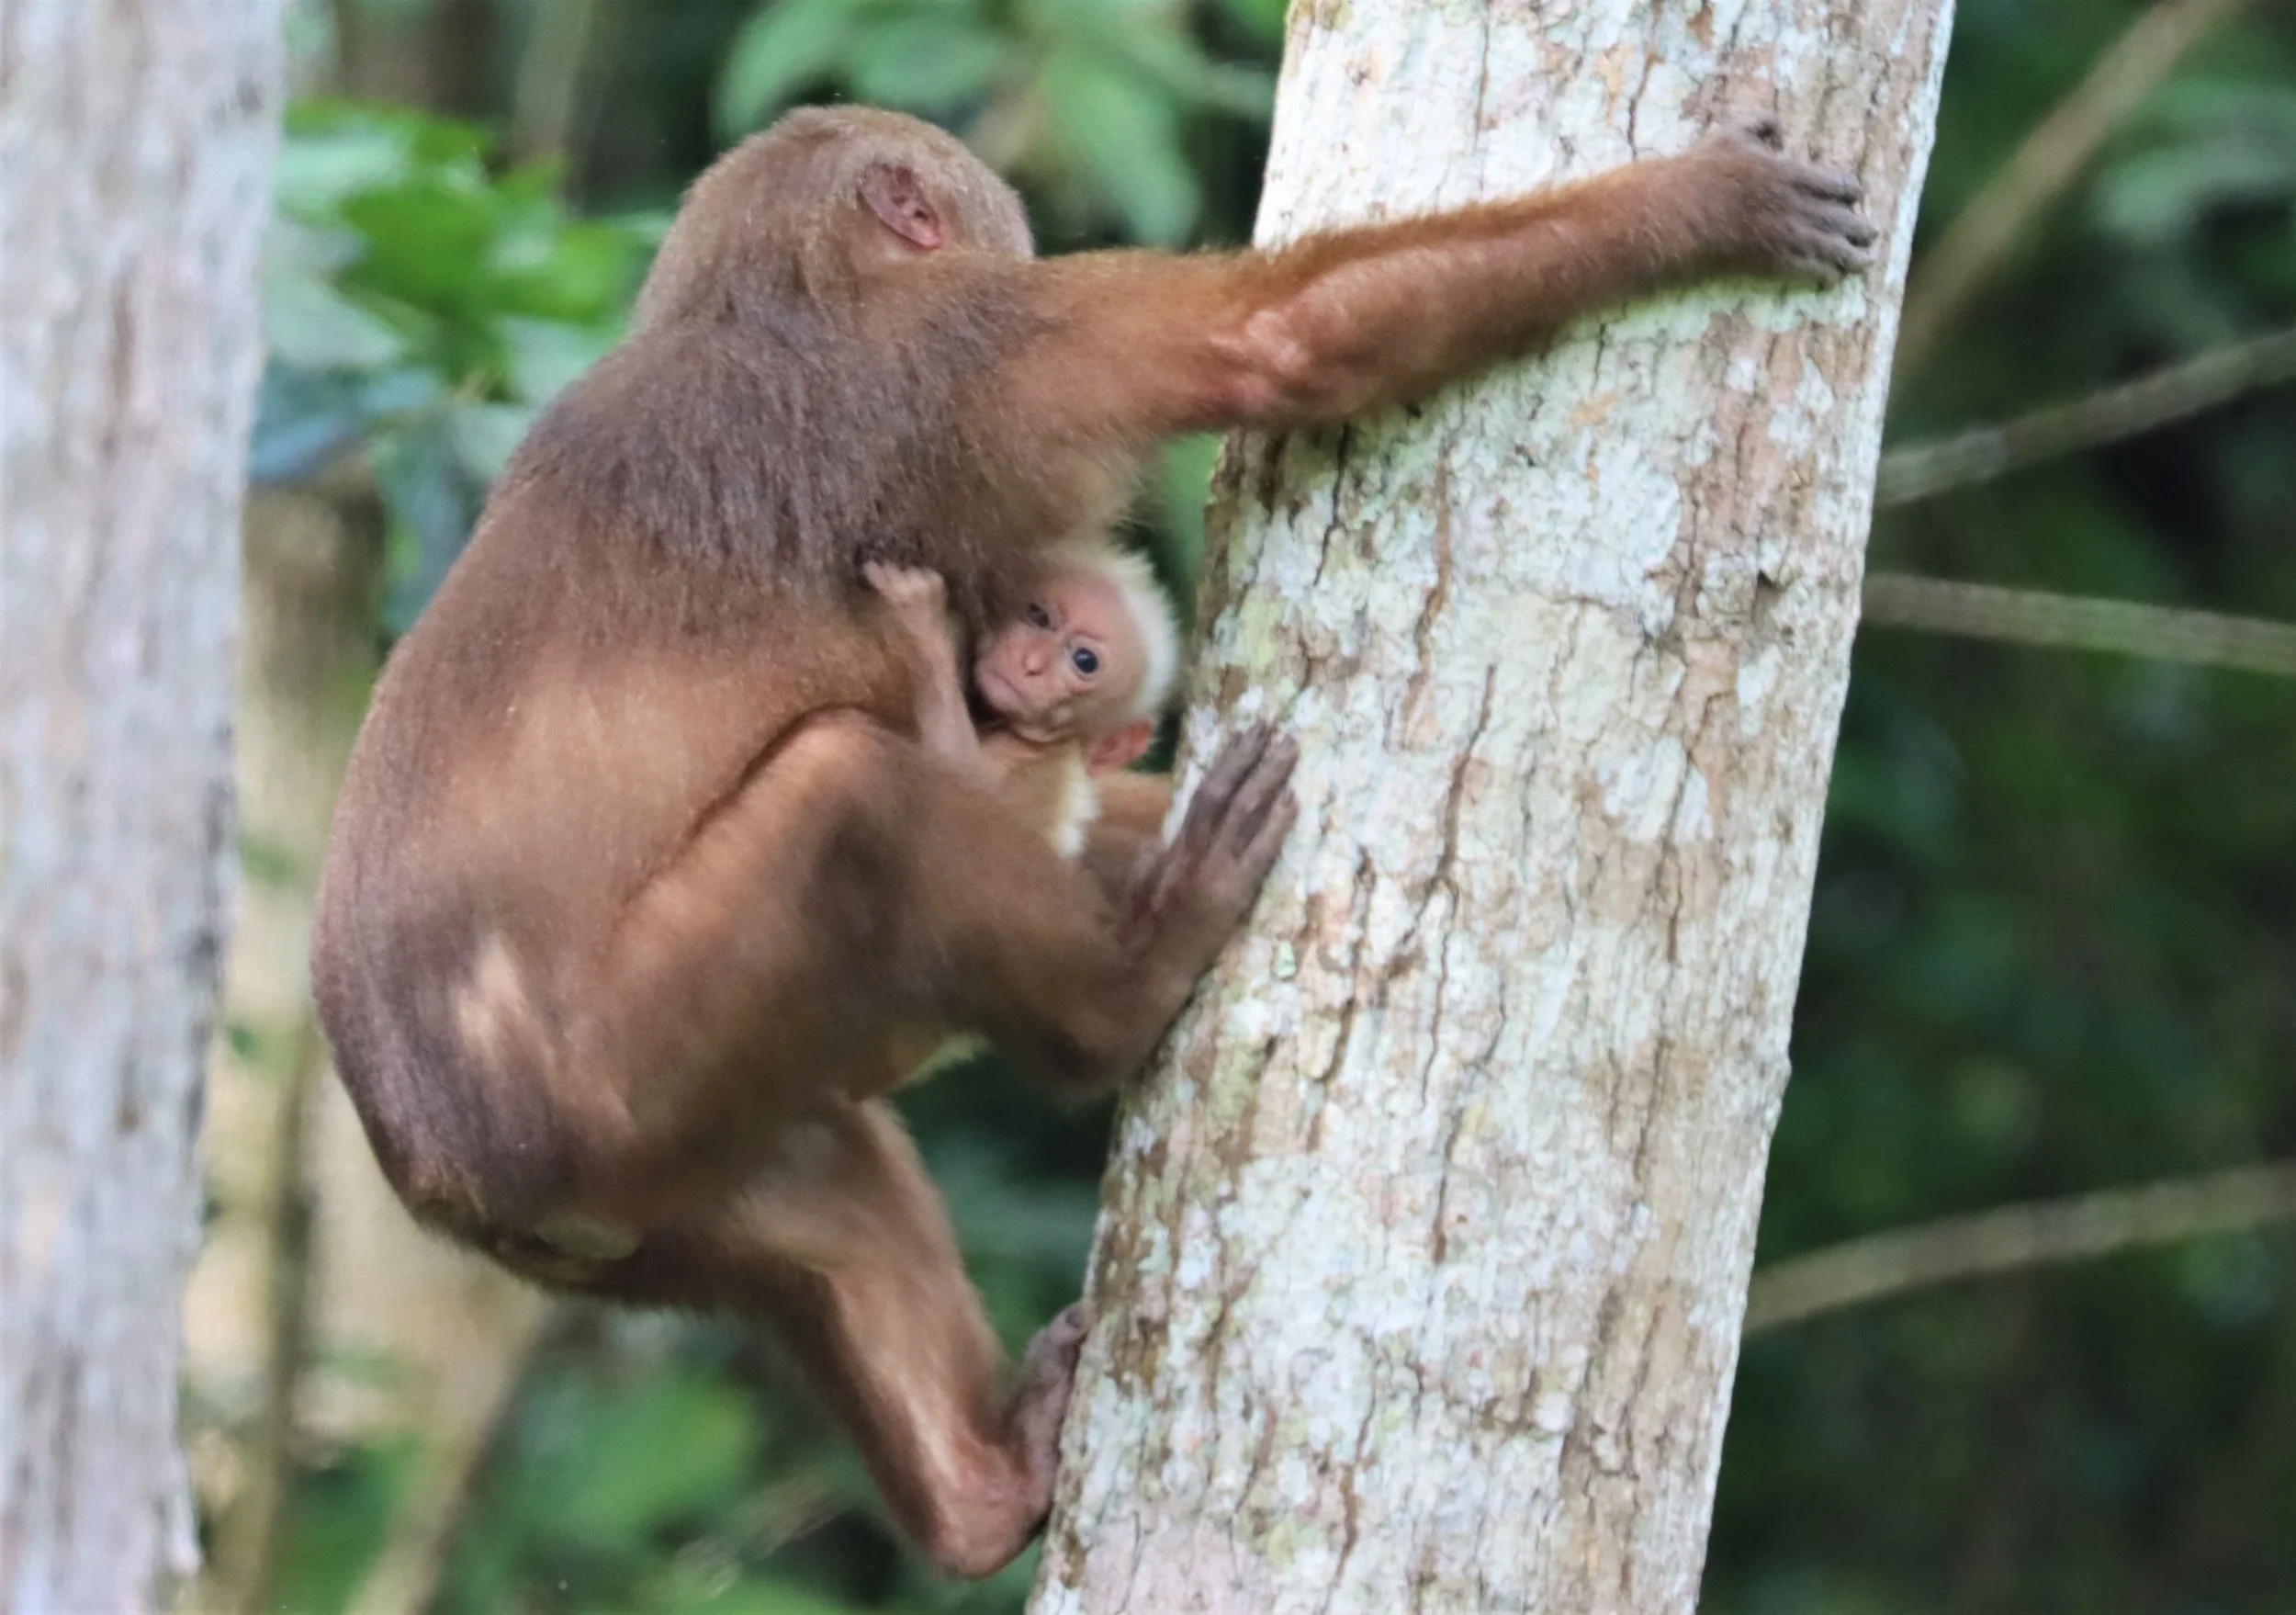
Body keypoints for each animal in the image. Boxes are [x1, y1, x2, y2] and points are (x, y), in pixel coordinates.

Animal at [310, 104, 1876, 1577]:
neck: (760, 306)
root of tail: (438, 1168)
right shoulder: (972, 354)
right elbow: (1278, 339)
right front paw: (1691, 209)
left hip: (632, 1187)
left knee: (822, 1170)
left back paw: (977, 1498)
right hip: (600, 1086)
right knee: (852, 795)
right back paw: (1123, 998)